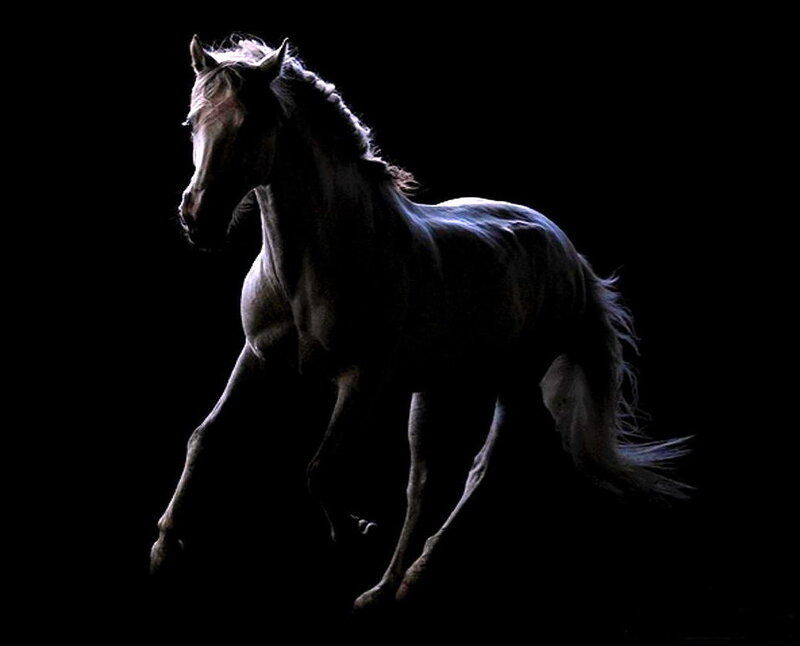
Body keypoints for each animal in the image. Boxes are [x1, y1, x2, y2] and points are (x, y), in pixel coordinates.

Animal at [150, 34, 690, 610]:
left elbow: (320, 470)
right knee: (424, 482)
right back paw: (387, 587)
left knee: (479, 472)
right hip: (434, 387)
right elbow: (206, 437)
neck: (321, 258)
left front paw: (354, 530)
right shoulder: (257, 356)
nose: (198, 219)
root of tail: (568, 252)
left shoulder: (361, 380)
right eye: (191, 122)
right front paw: (166, 546)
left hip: (516, 382)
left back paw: (414, 577)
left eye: (254, 124)